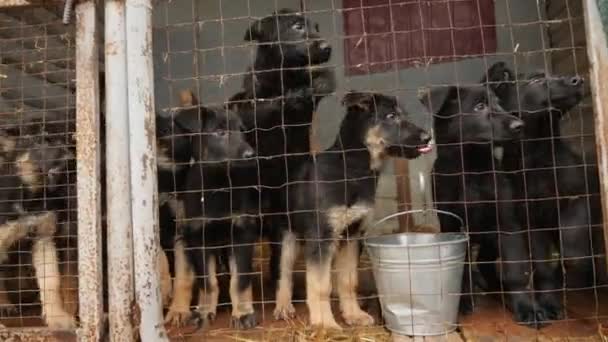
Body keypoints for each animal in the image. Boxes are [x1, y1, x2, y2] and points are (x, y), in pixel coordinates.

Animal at [270, 93, 432, 328]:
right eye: (391, 116)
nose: (428, 137)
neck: (353, 170)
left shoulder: (352, 235)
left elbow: (348, 281)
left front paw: (353, 314)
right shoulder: (322, 237)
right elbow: (320, 285)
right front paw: (325, 325)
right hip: (286, 235)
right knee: (283, 271)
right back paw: (283, 306)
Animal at [426, 83, 524, 320]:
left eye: (498, 103)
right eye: (479, 106)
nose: (520, 126)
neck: (471, 167)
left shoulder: (507, 223)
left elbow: (515, 269)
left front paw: (527, 307)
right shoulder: (452, 225)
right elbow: (459, 270)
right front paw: (462, 301)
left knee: (485, 263)